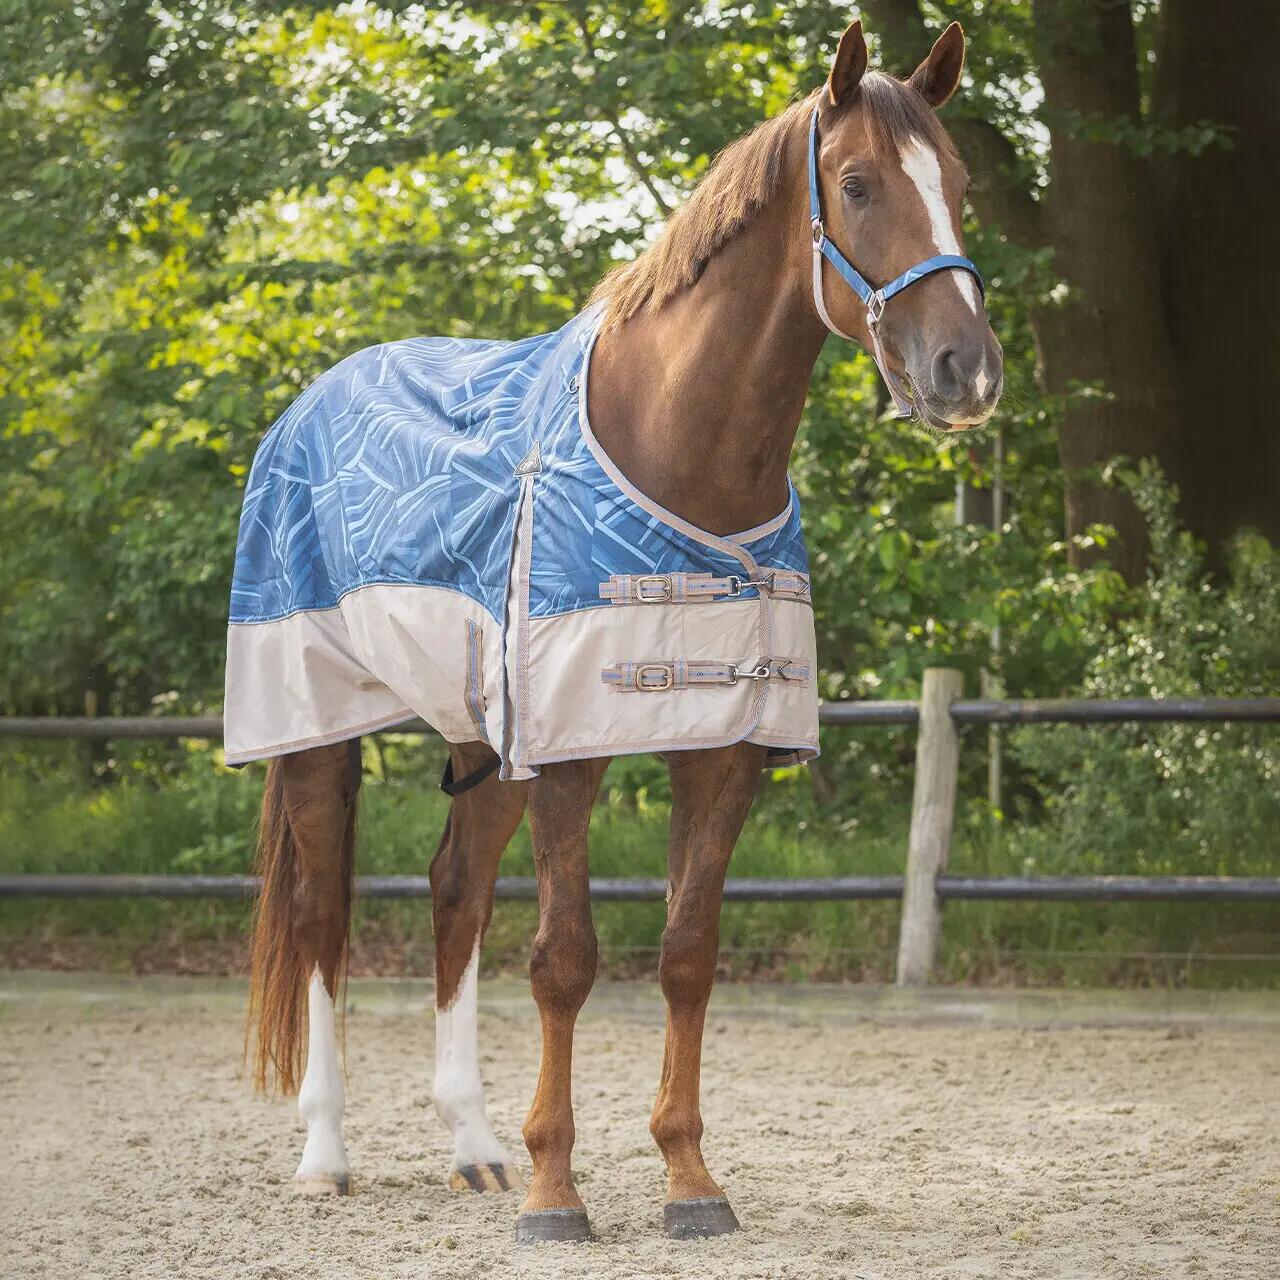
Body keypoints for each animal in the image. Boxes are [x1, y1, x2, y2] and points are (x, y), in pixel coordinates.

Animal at [231, 19, 1001, 1243]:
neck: (680, 450)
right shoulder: (571, 754)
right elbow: (564, 959)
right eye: (857, 183)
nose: (963, 371)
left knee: (454, 891)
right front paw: (558, 1194)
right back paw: (326, 1154)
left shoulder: (721, 748)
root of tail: (308, 405)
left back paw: (475, 1148)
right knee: (317, 914)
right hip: (312, 726)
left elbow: (686, 955)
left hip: (481, 740)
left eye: (962, 187)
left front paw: (688, 1179)